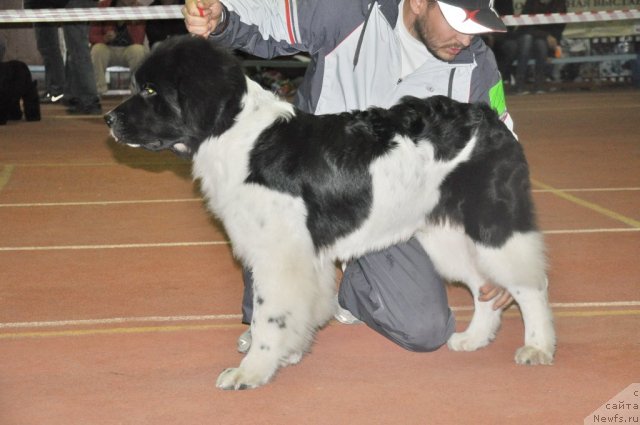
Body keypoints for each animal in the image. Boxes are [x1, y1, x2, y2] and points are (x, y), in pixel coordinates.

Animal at [105, 36, 556, 388]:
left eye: (151, 92)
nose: (108, 118)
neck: (239, 136)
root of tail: (489, 118)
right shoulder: (300, 256)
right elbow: (295, 311)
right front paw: (287, 354)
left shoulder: (279, 255)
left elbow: (269, 316)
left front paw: (251, 371)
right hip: (445, 236)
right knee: (483, 286)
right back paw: (474, 339)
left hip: (494, 227)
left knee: (530, 286)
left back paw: (536, 346)